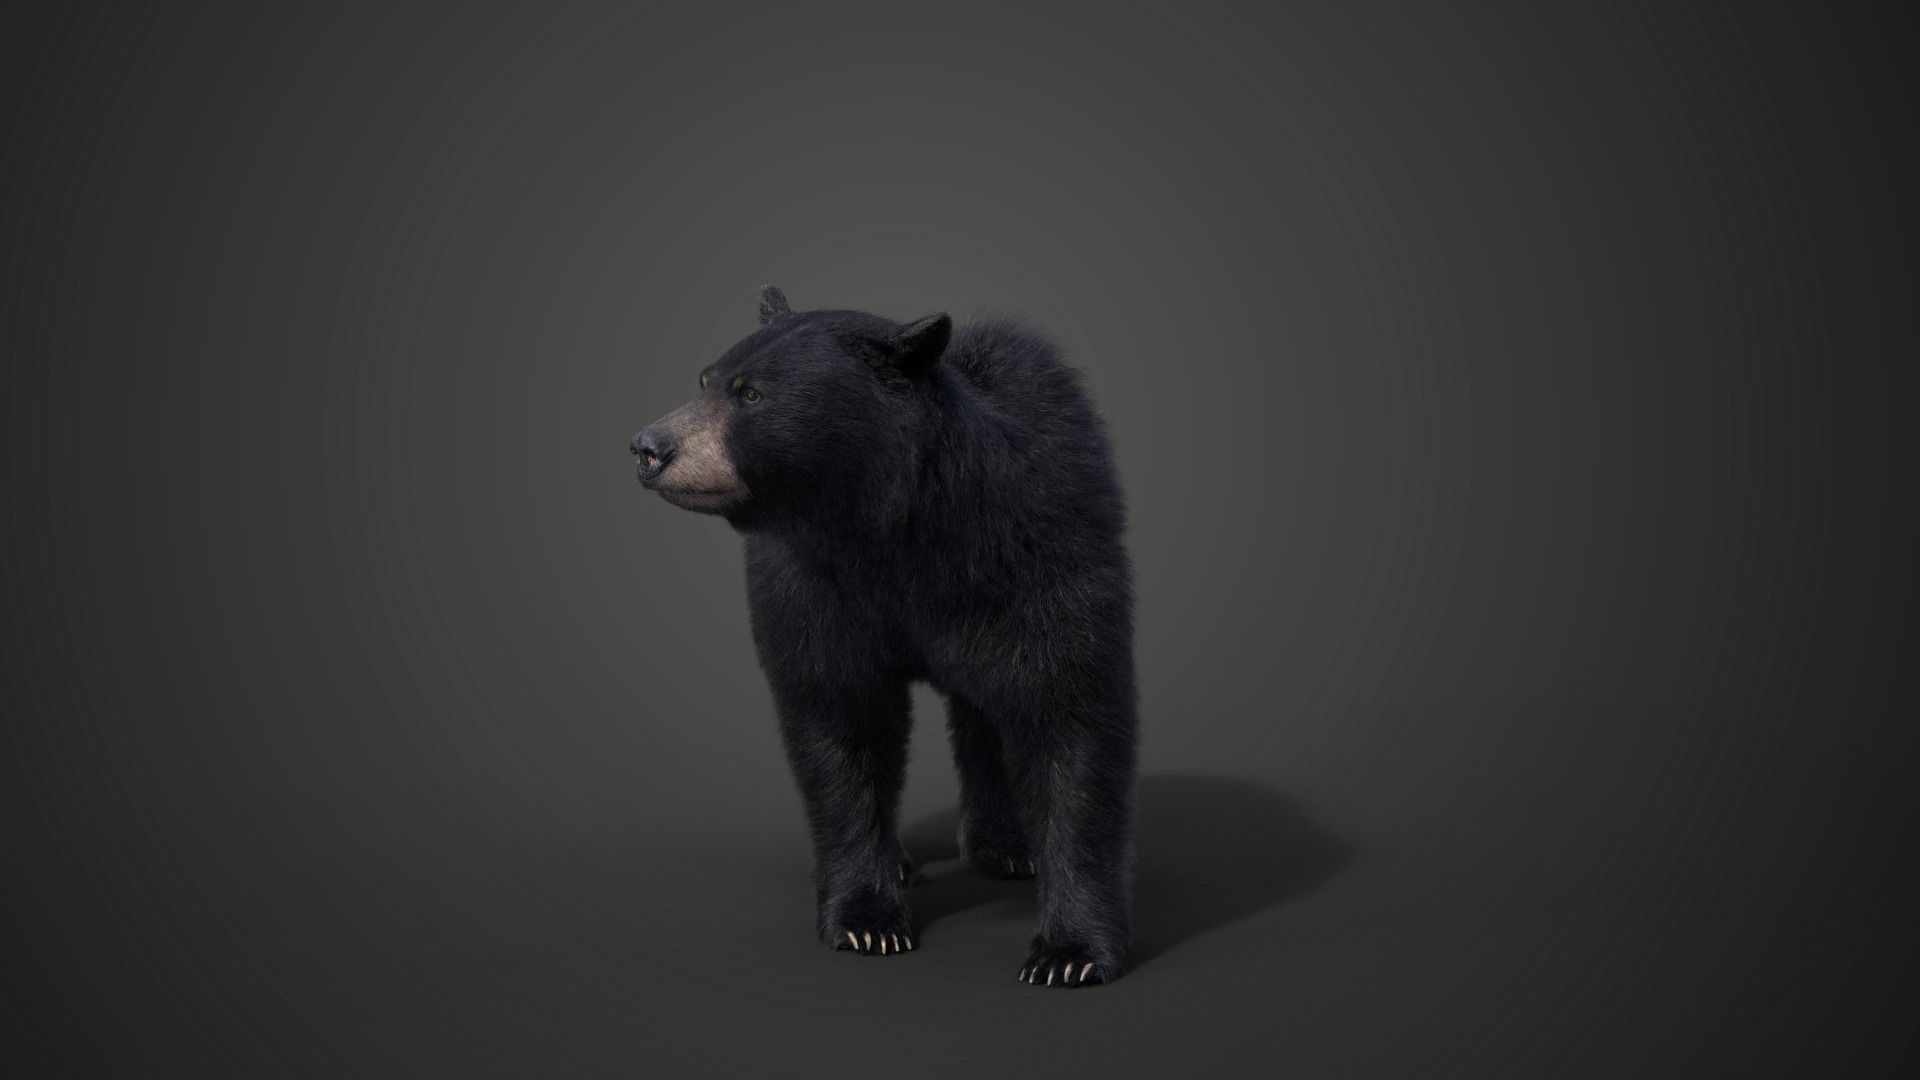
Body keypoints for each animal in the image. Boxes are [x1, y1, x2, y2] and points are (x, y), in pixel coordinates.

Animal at [630, 286, 1138, 987]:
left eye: (751, 394)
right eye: (706, 379)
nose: (647, 447)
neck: (895, 533)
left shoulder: (1038, 554)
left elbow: (1071, 714)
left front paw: (1071, 953)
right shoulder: (812, 585)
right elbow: (841, 725)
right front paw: (866, 917)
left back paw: (1005, 846)